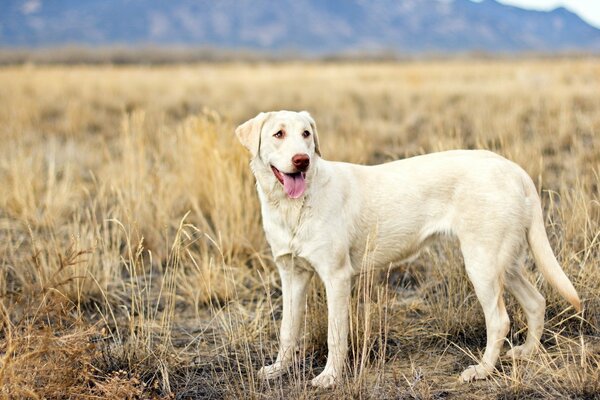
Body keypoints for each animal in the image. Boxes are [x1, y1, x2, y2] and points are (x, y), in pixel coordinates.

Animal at [234, 108, 580, 388]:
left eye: (306, 134)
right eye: (278, 134)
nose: (302, 160)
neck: (293, 206)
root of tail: (511, 167)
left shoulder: (337, 277)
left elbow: (335, 334)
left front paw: (330, 377)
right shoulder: (291, 274)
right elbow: (287, 329)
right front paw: (278, 369)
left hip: (482, 263)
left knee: (500, 320)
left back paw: (481, 371)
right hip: (504, 263)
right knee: (536, 301)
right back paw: (526, 352)